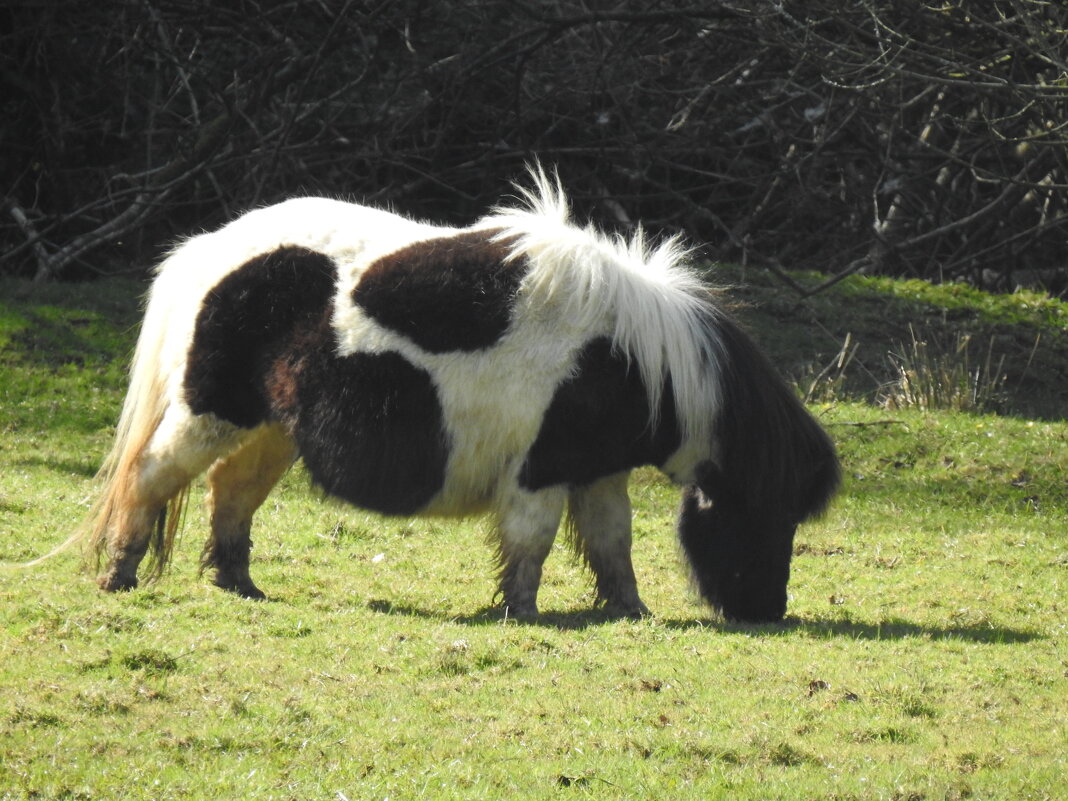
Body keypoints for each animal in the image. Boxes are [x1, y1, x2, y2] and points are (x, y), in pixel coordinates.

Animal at [75, 167, 841, 619]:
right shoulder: (539, 472)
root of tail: (206, 249)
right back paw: (119, 575)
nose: (767, 609)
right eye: (764, 513)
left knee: (229, 494)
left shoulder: (596, 470)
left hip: (270, 427)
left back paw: (240, 585)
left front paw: (630, 611)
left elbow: (612, 541)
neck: (631, 358)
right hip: (211, 411)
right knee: (151, 474)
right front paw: (523, 614)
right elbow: (531, 545)